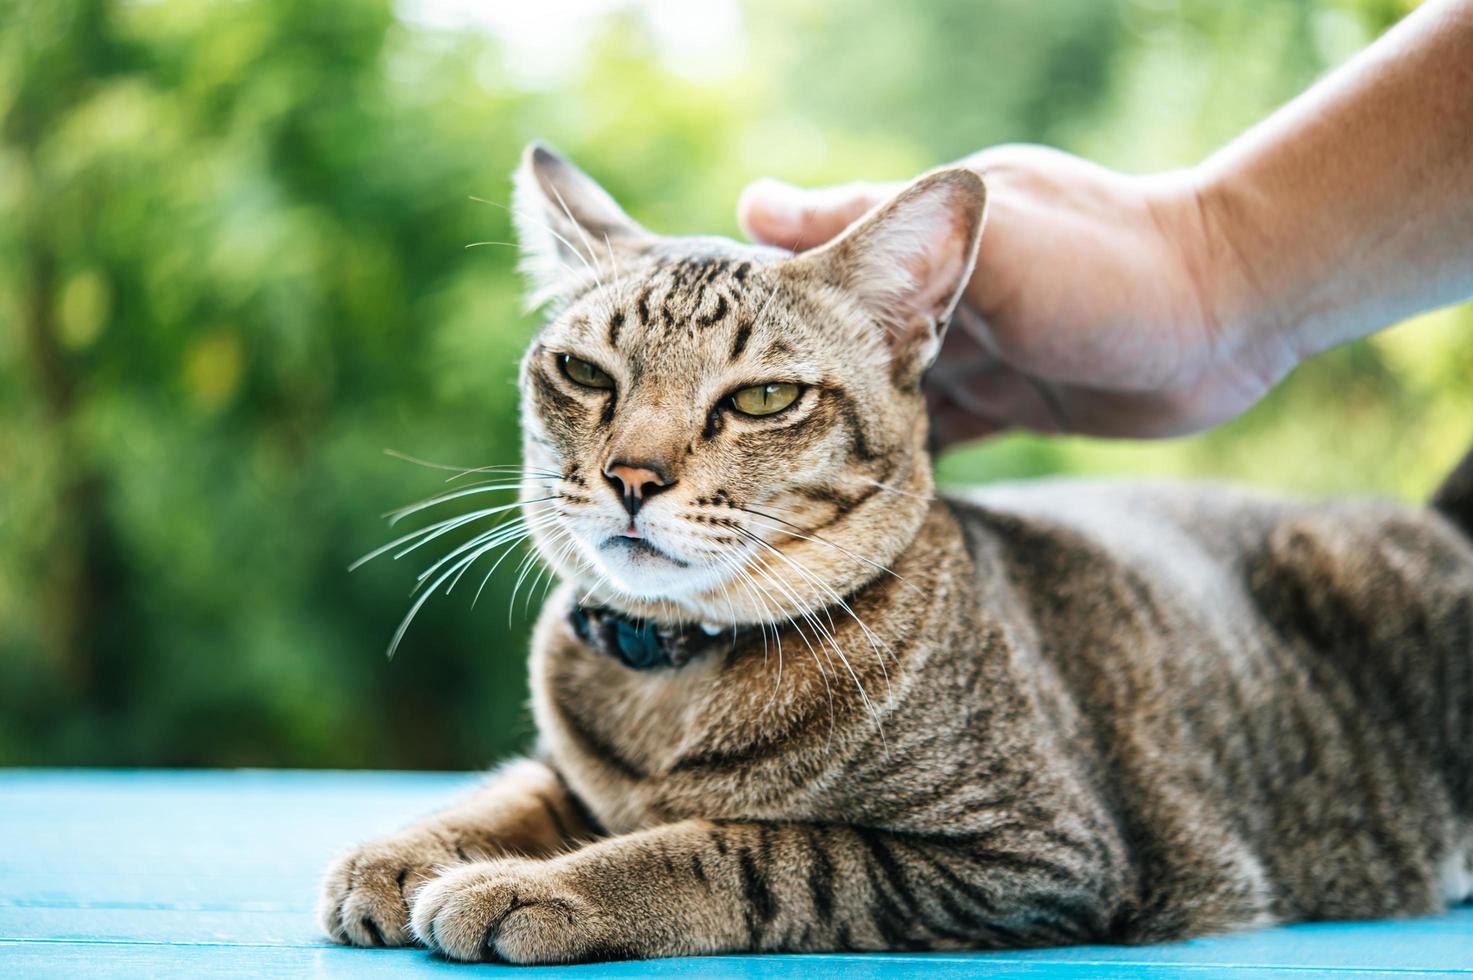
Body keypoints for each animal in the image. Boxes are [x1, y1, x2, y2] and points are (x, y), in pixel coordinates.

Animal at [319, 145, 1473, 960]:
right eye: (586, 372)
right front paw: (402, 851)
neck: (674, 676)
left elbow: (742, 847)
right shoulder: (573, 770)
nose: (632, 476)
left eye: (763, 397)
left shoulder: (1030, 853)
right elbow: (514, 791)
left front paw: (541, 883)